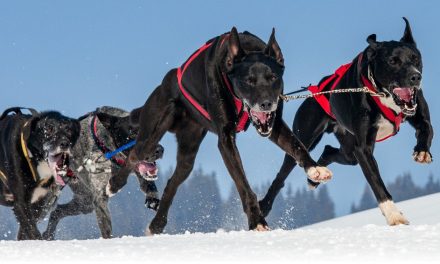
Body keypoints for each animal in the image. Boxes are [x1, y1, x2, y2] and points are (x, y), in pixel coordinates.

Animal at [0, 106, 79, 239]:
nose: (65, 143)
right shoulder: (21, 202)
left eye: (69, 130)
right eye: (49, 128)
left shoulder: (40, 204)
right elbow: (33, 231)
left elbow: (26, 230)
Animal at [42, 106, 163, 240]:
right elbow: (106, 228)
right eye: (133, 133)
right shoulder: (100, 198)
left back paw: (48, 234)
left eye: (155, 132)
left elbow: (148, 185)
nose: (159, 150)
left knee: (57, 210)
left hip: (85, 202)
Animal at [107, 27, 330, 234]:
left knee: (173, 180)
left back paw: (157, 224)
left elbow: (297, 146)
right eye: (248, 80)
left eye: (273, 77)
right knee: (135, 155)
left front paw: (314, 168)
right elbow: (243, 184)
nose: (267, 103)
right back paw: (114, 184)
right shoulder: (226, 140)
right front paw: (257, 221)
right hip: (152, 131)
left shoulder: (274, 125)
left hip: (189, 150)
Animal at [258, 17, 434, 226]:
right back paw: (264, 205)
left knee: (329, 151)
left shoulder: (417, 113)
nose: (415, 76)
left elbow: (427, 128)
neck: (382, 93)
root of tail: (314, 90)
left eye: (416, 59)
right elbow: (377, 183)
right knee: (282, 175)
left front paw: (422, 152)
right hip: (306, 138)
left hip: (349, 150)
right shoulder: (363, 149)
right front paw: (394, 215)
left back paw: (314, 179)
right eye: (393, 61)